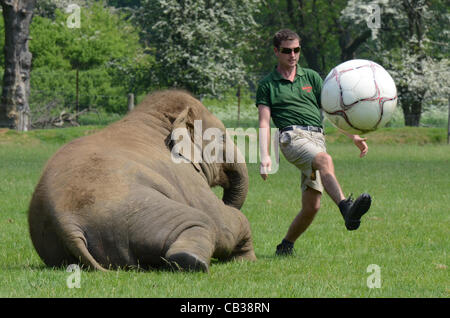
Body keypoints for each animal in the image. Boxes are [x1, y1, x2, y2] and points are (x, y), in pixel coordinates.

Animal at [29, 90, 256, 274]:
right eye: (223, 137)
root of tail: (65, 222)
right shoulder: (186, 177)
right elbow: (224, 221)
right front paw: (246, 259)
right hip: (135, 214)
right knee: (204, 221)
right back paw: (192, 262)